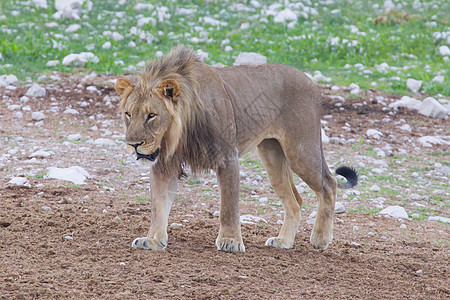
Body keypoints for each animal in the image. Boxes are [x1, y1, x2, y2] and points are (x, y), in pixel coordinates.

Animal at [116, 46, 358, 253]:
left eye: (151, 115)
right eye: (128, 113)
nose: (133, 144)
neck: (179, 132)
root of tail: (311, 82)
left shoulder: (227, 157)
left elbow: (228, 206)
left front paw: (230, 241)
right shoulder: (164, 164)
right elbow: (158, 205)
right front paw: (152, 240)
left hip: (301, 150)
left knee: (329, 184)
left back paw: (320, 238)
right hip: (272, 155)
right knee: (295, 201)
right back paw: (283, 241)